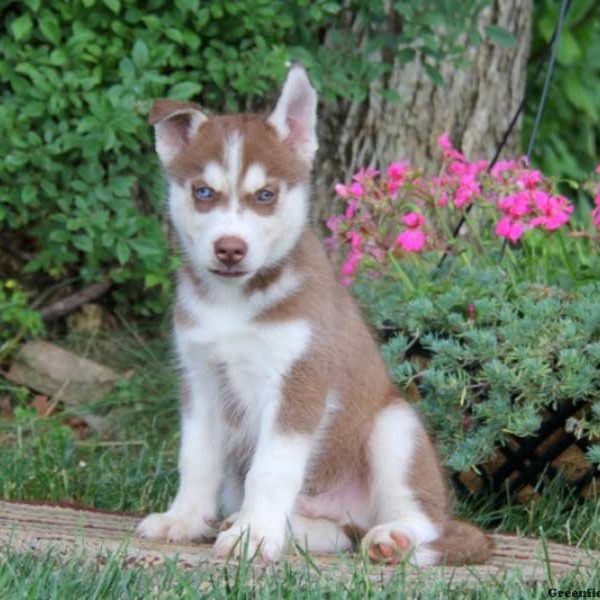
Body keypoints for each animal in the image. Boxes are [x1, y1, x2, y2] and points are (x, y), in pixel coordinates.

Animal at [135, 65, 488, 568]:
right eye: (203, 192)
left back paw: (393, 538)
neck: (235, 302)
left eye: (265, 195)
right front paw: (183, 519)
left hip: (395, 428)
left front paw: (253, 535)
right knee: (340, 534)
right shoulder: (200, 378)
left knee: (420, 519)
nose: (229, 248)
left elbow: (271, 469)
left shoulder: (300, 380)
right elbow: (197, 457)